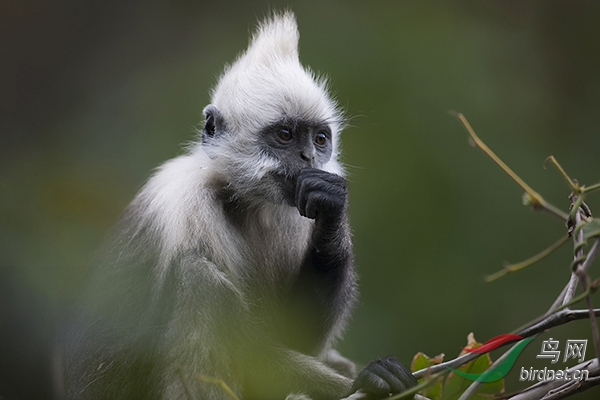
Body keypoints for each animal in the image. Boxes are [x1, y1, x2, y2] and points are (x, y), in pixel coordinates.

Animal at [62, 10, 418, 398]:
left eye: (320, 139)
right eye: (285, 135)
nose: (309, 157)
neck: (242, 201)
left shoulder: (294, 211)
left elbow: (292, 334)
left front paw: (331, 208)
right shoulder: (187, 206)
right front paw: (370, 379)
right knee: (201, 281)